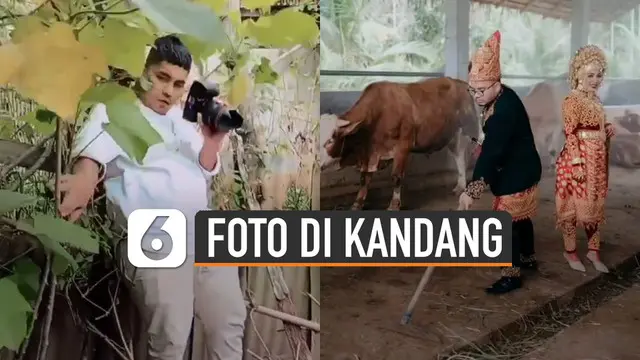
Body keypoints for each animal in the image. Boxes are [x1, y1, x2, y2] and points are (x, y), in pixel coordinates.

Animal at [322, 76, 478, 211]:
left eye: (331, 139)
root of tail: (461, 83)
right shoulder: (370, 153)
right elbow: (364, 179)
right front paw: (357, 204)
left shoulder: (403, 147)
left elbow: (396, 177)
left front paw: (394, 204)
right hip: (454, 136)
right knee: (459, 158)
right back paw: (460, 186)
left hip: (471, 129)